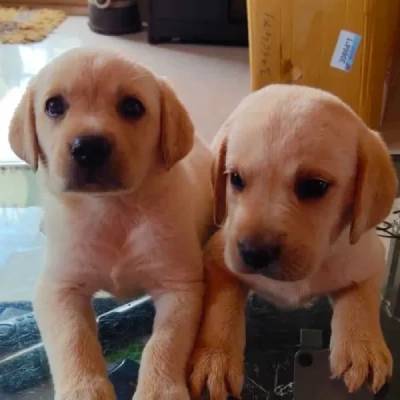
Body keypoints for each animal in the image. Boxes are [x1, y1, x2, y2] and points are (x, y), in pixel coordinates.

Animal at [9, 49, 214, 400]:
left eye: (132, 107)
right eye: (54, 106)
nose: (88, 148)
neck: (112, 209)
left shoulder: (180, 287)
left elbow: (165, 342)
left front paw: (159, 389)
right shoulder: (58, 288)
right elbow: (72, 339)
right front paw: (83, 390)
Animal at [190, 85, 396, 400]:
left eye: (315, 186)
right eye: (235, 178)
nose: (253, 253)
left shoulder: (368, 258)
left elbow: (361, 300)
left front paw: (362, 349)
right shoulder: (218, 256)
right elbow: (221, 308)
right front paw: (214, 359)